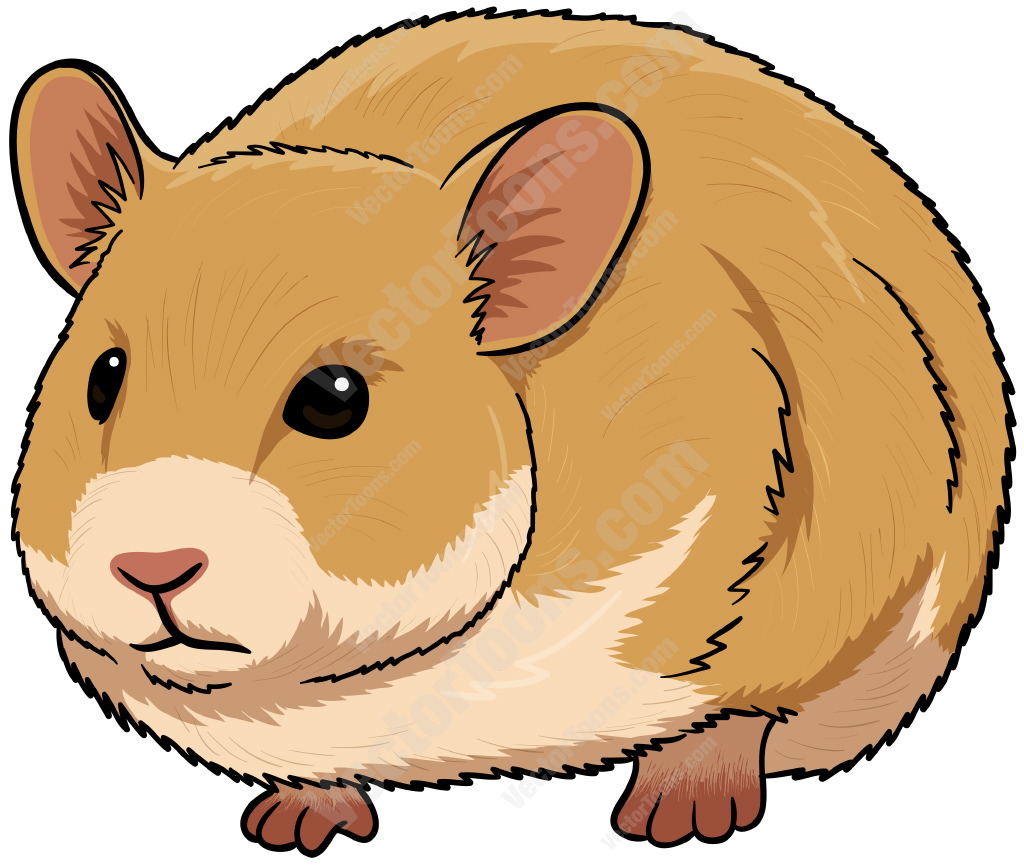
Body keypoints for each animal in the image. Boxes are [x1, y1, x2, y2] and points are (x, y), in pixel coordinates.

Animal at [9, 8, 1012, 856]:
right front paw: (293, 829)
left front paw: (679, 823)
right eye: (103, 378)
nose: (153, 568)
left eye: (334, 398)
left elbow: (739, 707)